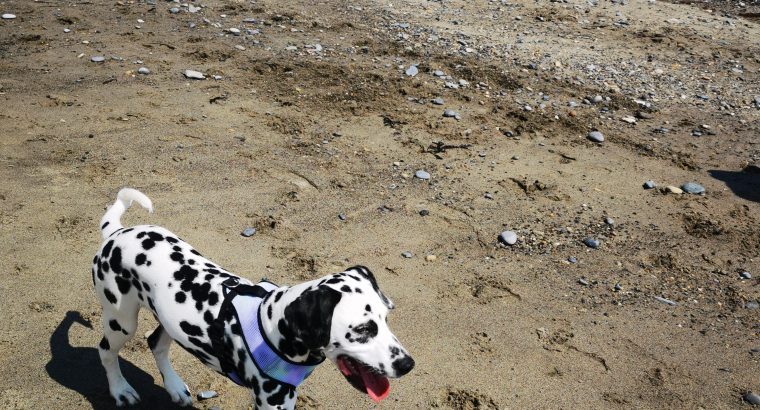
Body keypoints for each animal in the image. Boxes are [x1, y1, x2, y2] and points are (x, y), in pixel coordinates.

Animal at [95, 188, 418, 406]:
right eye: (362, 330)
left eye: (386, 318)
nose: (408, 365)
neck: (274, 327)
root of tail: (116, 232)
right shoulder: (273, 402)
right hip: (121, 321)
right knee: (106, 351)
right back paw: (120, 390)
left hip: (168, 320)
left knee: (155, 343)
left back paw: (174, 387)